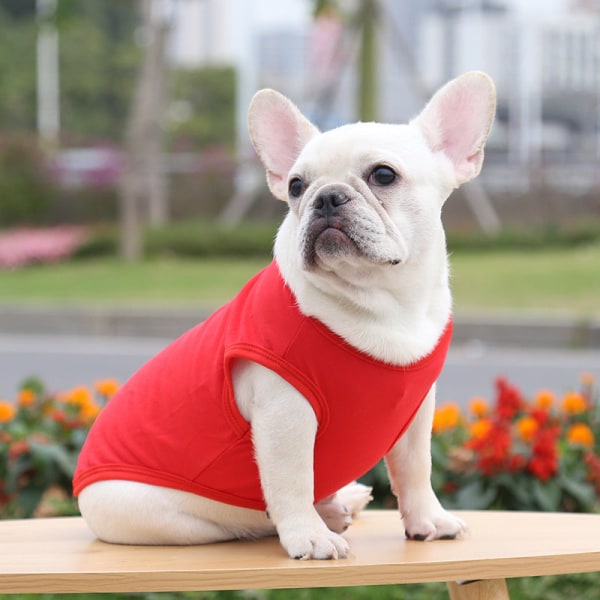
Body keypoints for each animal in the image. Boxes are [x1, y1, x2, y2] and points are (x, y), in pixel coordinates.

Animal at [74, 72, 496, 560]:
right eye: (296, 186)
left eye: (384, 175)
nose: (326, 197)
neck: (382, 301)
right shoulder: (285, 412)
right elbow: (292, 480)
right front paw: (309, 536)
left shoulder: (416, 411)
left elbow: (415, 468)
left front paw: (428, 520)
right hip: (160, 516)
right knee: (244, 520)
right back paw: (324, 515)